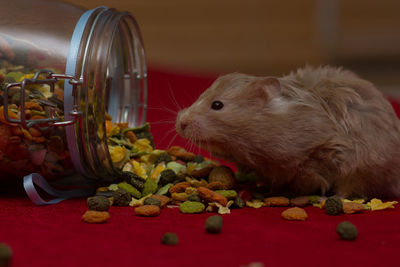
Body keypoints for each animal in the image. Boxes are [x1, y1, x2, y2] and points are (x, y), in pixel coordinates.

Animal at [176, 65, 400, 199]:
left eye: (217, 105)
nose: (181, 123)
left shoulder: (328, 152)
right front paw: (267, 190)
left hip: (367, 167)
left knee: (349, 188)